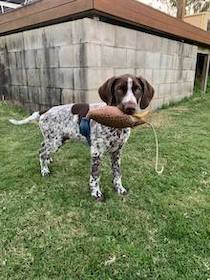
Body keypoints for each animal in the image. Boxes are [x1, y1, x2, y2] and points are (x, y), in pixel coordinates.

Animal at [9, 74, 154, 201]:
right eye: (119, 89)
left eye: (137, 89)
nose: (130, 108)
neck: (117, 124)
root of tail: (44, 111)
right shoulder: (96, 152)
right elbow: (95, 176)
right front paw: (96, 193)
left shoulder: (117, 152)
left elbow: (117, 173)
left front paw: (119, 189)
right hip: (55, 141)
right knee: (41, 153)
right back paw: (44, 170)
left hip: (57, 139)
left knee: (42, 147)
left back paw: (48, 161)